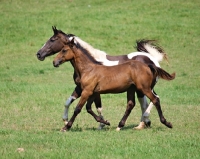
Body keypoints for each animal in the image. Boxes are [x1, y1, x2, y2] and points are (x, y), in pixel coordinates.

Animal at [36, 26, 167, 129]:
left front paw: (102, 124)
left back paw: (145, 120)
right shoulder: (80, 88)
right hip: (138, 88)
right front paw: (65, 120)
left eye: (52, 40)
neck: (91, 63)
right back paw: (143, 123)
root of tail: (152, 60)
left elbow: (97, 107)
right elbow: (68, 102)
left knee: (153, 99)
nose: (39, 54)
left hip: (143, 88)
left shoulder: (92, 90)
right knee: (144, 102)